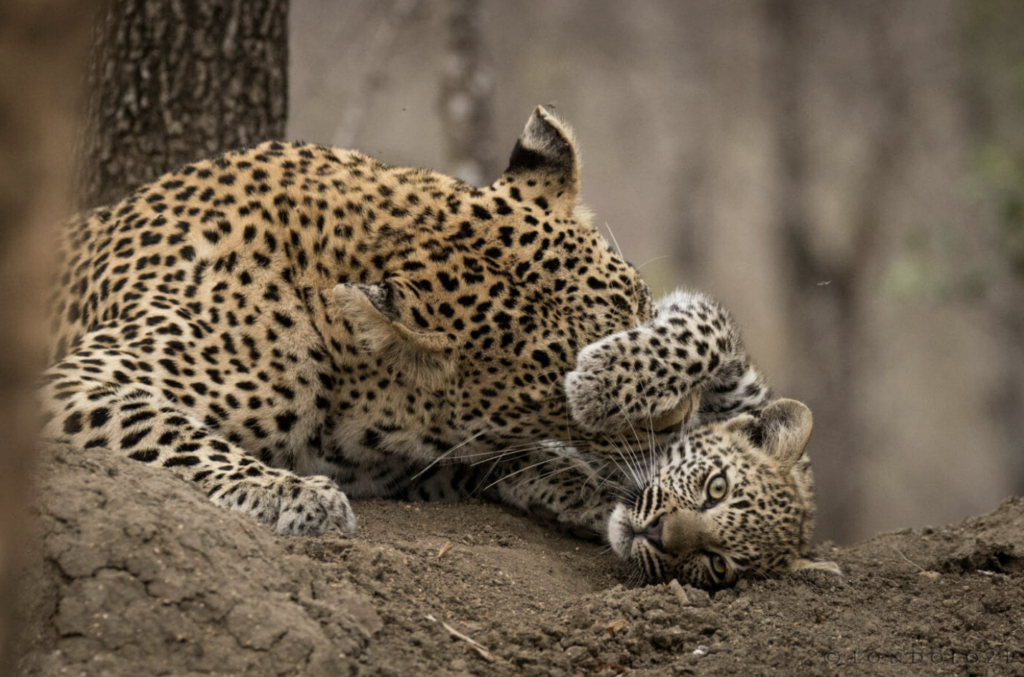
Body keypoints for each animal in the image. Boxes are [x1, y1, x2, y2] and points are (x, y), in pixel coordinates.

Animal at [39, 105, 696, 536]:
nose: (684, 412)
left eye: (644, 311)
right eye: (574, 395)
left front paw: (584, 486)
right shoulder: (73, 384)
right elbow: (165, 427)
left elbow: (498, 455)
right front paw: (284, 492)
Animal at [565, 288, 835, 589]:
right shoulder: (737, 371)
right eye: (718, 487)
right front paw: (597, 387)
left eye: (717, 563)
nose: (656, 532)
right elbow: (704, 338)